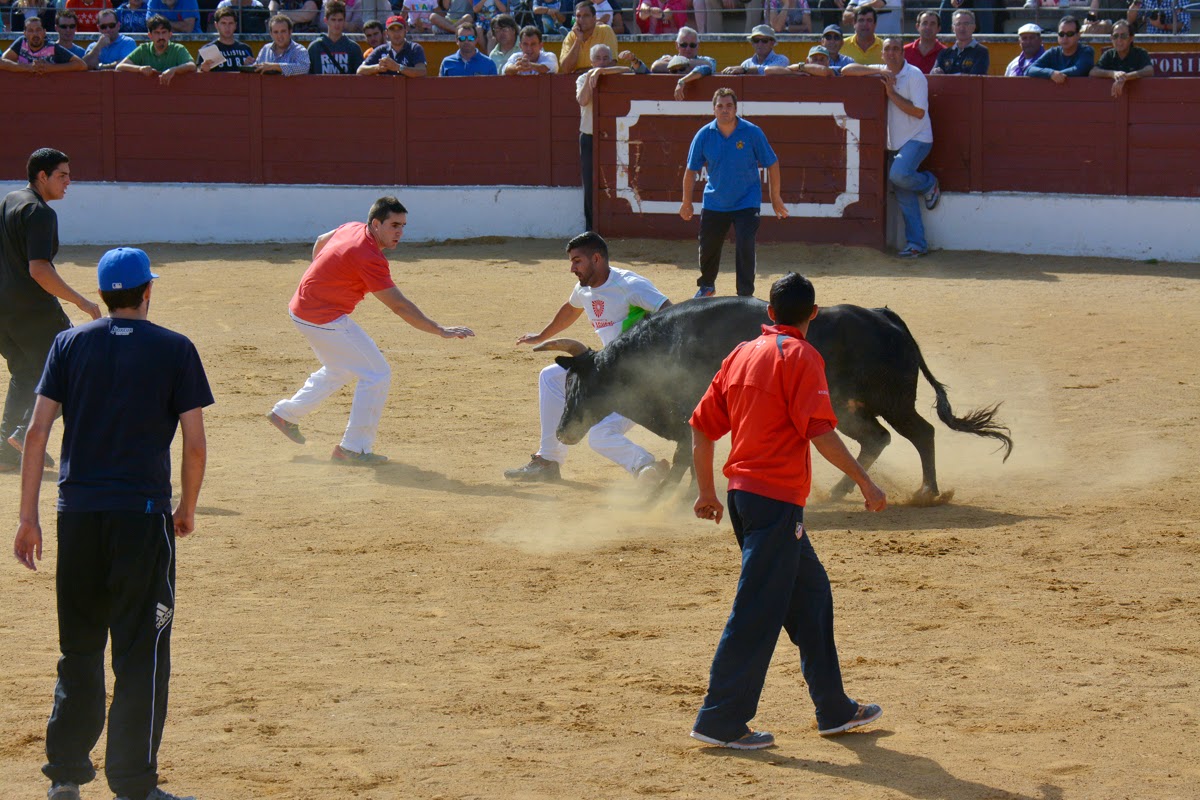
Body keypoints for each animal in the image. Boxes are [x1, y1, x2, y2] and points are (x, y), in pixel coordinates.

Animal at [532, 296, 1012, 502]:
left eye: (579, 385)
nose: (563, 431)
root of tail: (885, 317)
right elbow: (692, 456)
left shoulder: (688, 416)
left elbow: (686, 456)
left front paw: (666, 495)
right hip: (848, 409)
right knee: (876, 439)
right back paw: (838, 491)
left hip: (892, 402)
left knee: (921, 433)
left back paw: (928, 492)